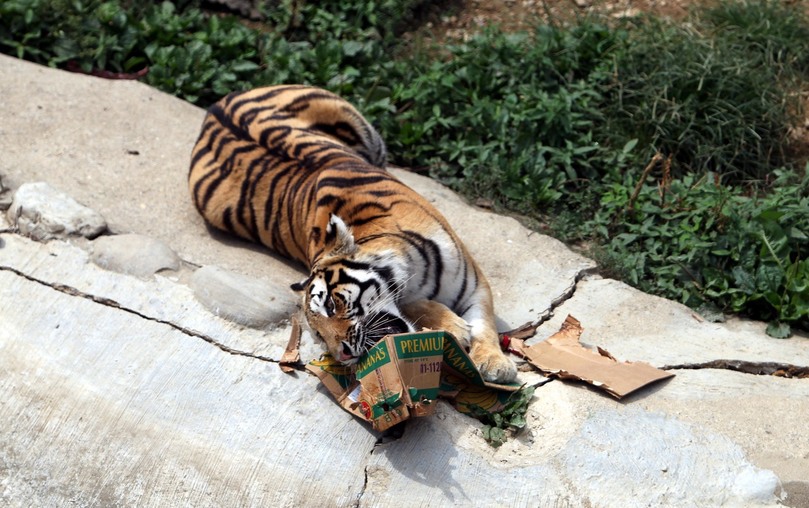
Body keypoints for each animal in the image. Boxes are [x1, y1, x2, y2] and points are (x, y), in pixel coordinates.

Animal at [189, 85, 516, 382]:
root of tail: (216, 106)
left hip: (365, 130)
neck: (415, 269)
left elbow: (485, 324)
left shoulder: (475, 285)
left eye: (331, 305)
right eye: (319, 335)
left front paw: (494, 363)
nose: (343, 354)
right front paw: (453, 326)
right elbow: (414, 303)